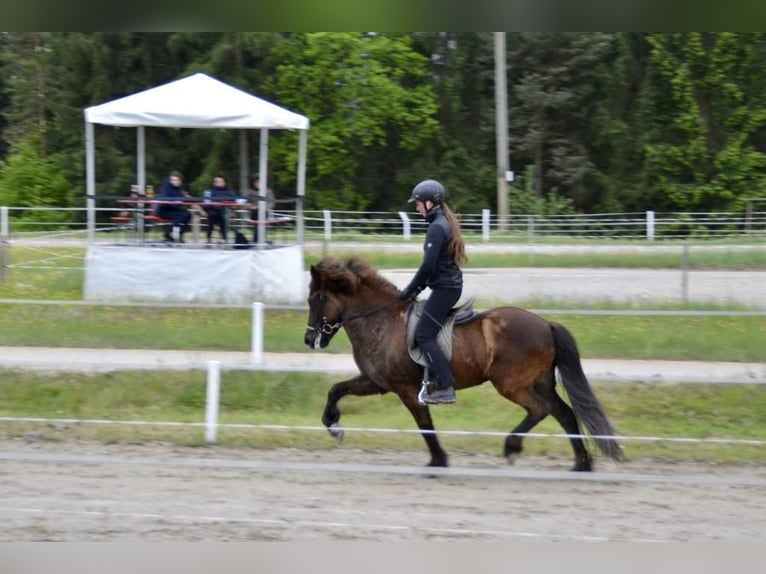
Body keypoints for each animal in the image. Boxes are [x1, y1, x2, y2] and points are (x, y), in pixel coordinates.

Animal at [304, 256, 623, 471]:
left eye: (314, 299)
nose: (309, 339)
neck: (380, 320)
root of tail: (546, 324)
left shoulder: (406, 390)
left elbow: (424, 425)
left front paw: (438, 460)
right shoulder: (376, 382)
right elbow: (336, 389)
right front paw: (332, 424)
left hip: (511, 384)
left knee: (540, 409)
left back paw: (512, 447)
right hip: (540, 381)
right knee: (565, 414)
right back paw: (581, 464)